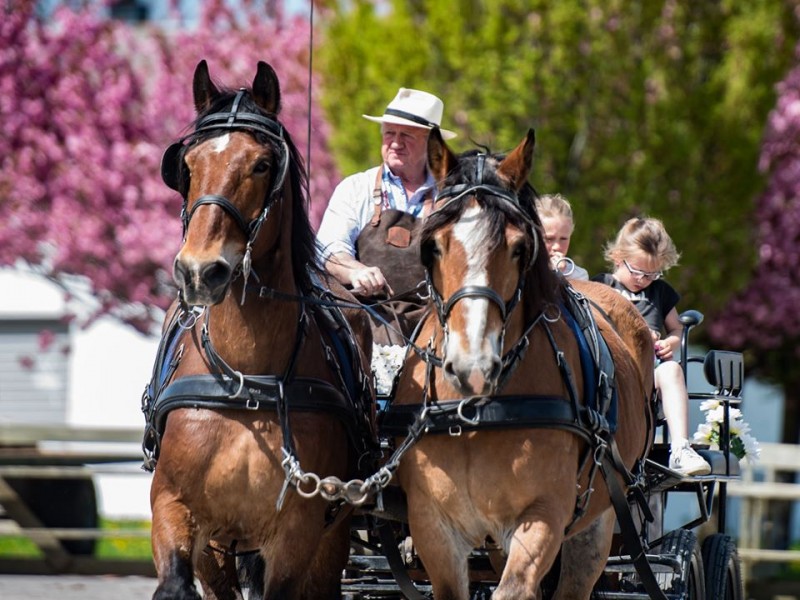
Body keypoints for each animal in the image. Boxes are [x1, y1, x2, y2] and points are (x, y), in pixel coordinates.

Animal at [145, 61, 376, 600]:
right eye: (187, 166)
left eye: (262, 165)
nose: (198, 271)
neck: (247, 380)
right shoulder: (173, 508)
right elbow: (175, 583)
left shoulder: (299, 531)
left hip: (331, 539)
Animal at [392, 130, 656, 600]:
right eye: (433, 246)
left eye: (519, 248)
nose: (473, 365)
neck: (476, 414)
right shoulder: (432, 524)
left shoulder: (543, 516)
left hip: (601, 518)